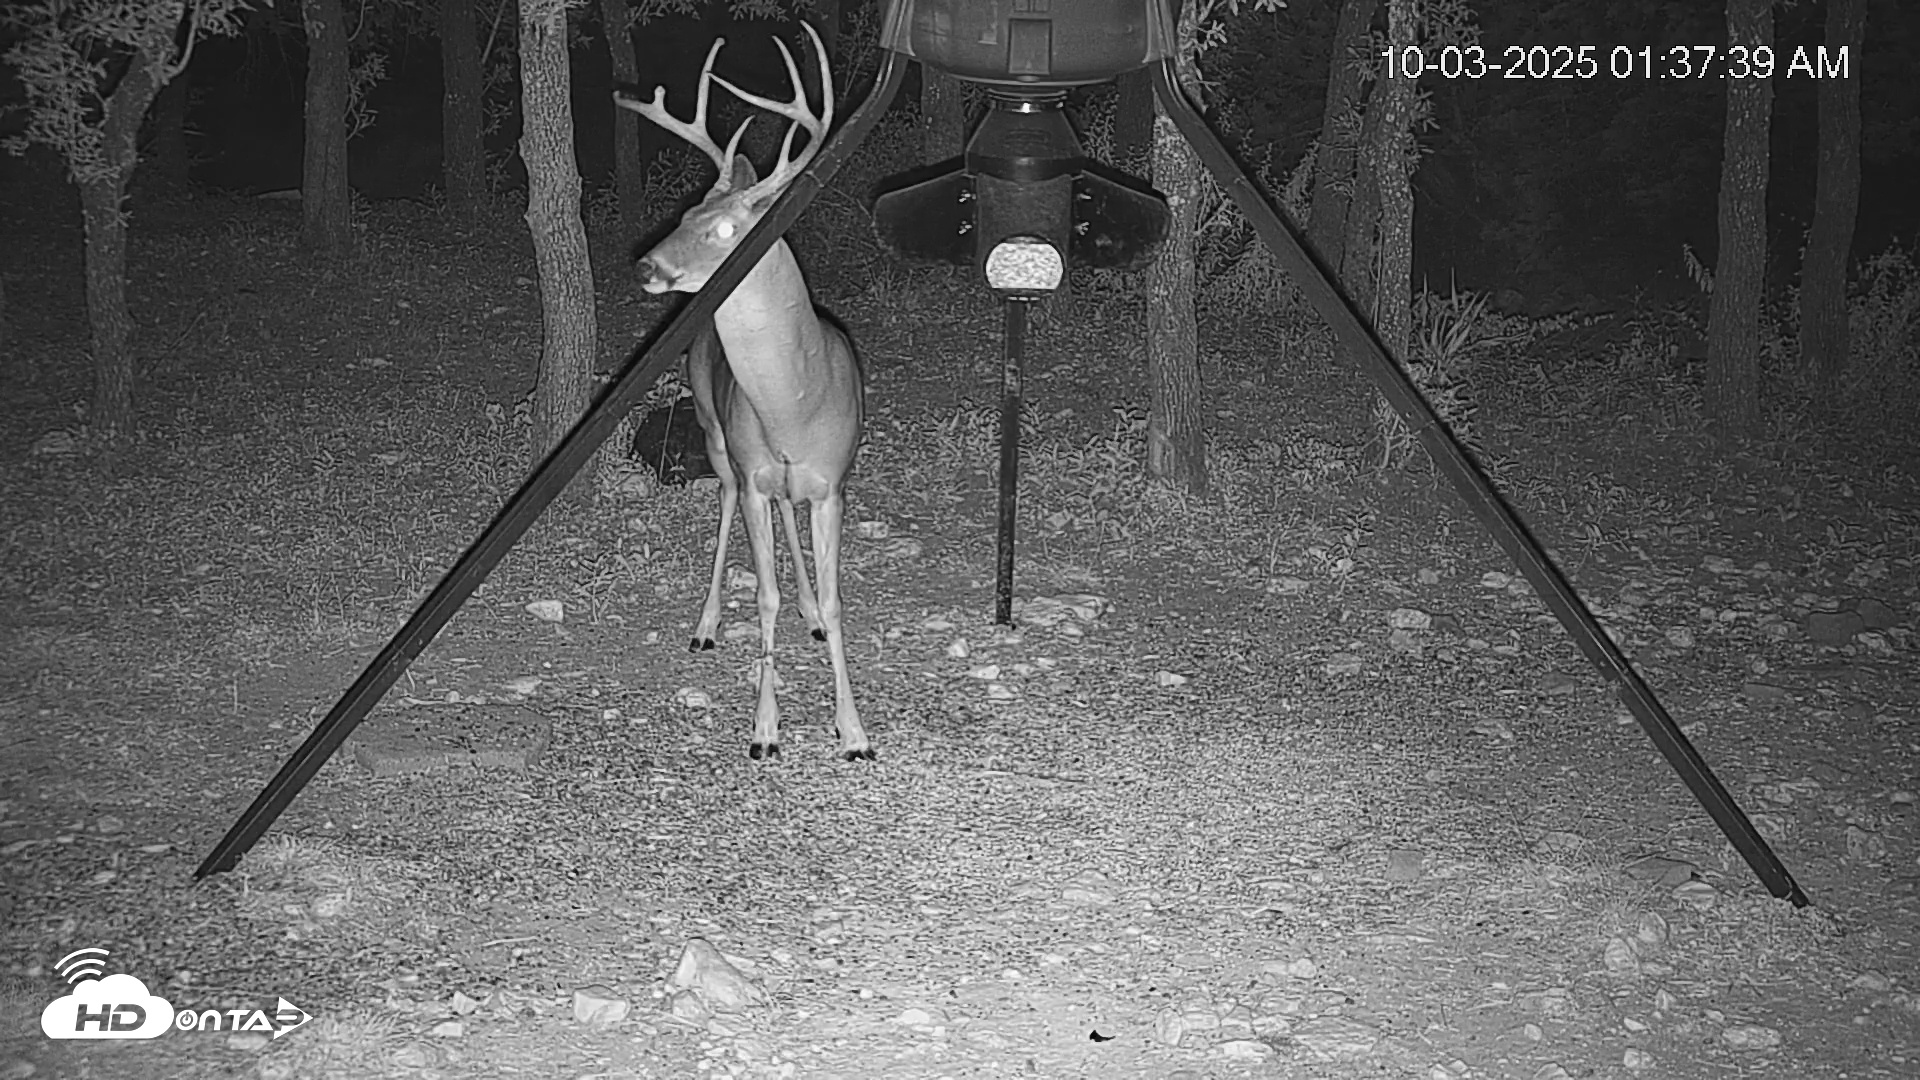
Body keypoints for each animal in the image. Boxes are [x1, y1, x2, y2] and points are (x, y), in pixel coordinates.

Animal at [616, 24, 873, 763]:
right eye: (686, 211)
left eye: (728, 228)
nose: (646, 266)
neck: (795, 402)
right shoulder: (755, 471)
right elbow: (763, 596)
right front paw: (765, 731)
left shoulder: (833, 482)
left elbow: (837, 600)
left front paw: (855, 732)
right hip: (711, 428)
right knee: (728, 499)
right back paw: (704, 626)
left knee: (790, 521)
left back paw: (810, 617)